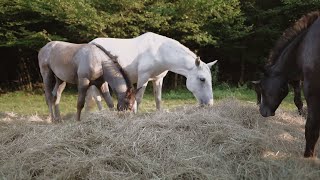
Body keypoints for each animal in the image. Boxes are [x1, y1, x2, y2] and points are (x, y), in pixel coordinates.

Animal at [91, 32, 219, 111]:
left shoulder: (158, 79)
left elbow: (158, 99)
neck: (159, 52)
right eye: (202, 79)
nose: (210, 104)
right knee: (98, 97)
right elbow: (138, 98)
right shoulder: (143, 77)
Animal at [252, 11, 320, 158]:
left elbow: (311, 127)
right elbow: (298, 101)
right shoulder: (297, 80)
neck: (302, 46)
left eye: (263, 87)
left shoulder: (312, 89)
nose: (262, 111)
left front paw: (308, 157)